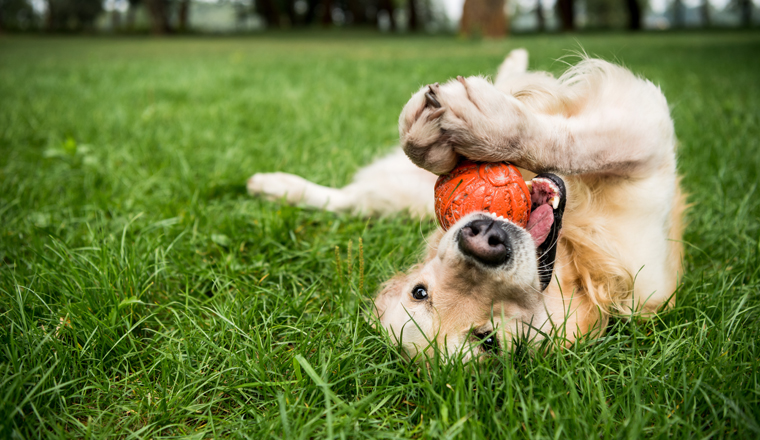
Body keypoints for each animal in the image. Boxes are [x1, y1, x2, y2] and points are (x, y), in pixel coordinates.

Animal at [246, 49, 684, 360]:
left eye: (418, 292)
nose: (483, 238)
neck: (574, 258)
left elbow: (573, 141)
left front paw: (476, 127)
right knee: (349, 200)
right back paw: (273, 186)